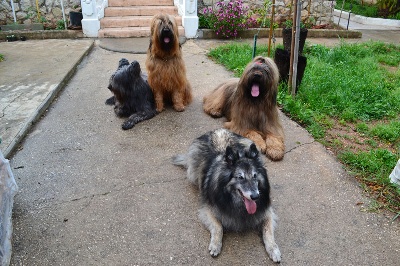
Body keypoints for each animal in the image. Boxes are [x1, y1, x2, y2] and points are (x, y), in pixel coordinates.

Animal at [172, 128, 282, 262]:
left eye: (255, 176)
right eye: (240, 177)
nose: (255, 196)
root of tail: (217, 130)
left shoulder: (267, 212)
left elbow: (268, 232)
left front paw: (274, 249)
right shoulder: (208, 210)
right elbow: (218, 227)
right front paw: (215, 245)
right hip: (193, 173)